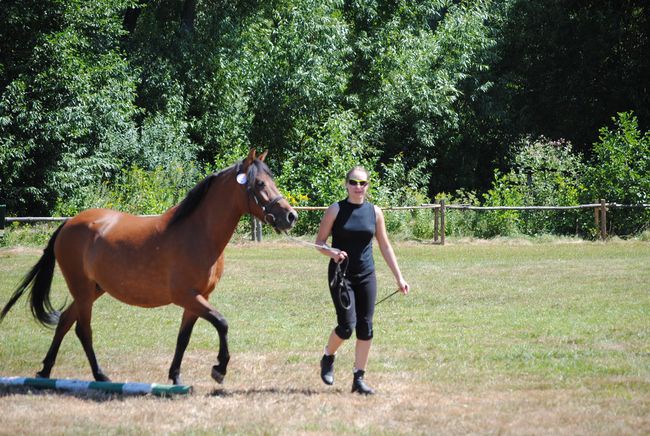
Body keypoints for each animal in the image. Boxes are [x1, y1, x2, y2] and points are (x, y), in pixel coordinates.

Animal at [0, 150, 298, 384]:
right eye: (259, 183)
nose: (290, 216)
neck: (198, 233)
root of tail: (69, 223)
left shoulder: (197, 298)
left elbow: (183, 338)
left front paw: (176, 377)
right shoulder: (187, 296)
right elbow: (222, 323)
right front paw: (219, 369)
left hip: (93, 290)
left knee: (64, 321)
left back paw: (45, 372)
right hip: (83, 290)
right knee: (82, 330)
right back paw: (99, 376)